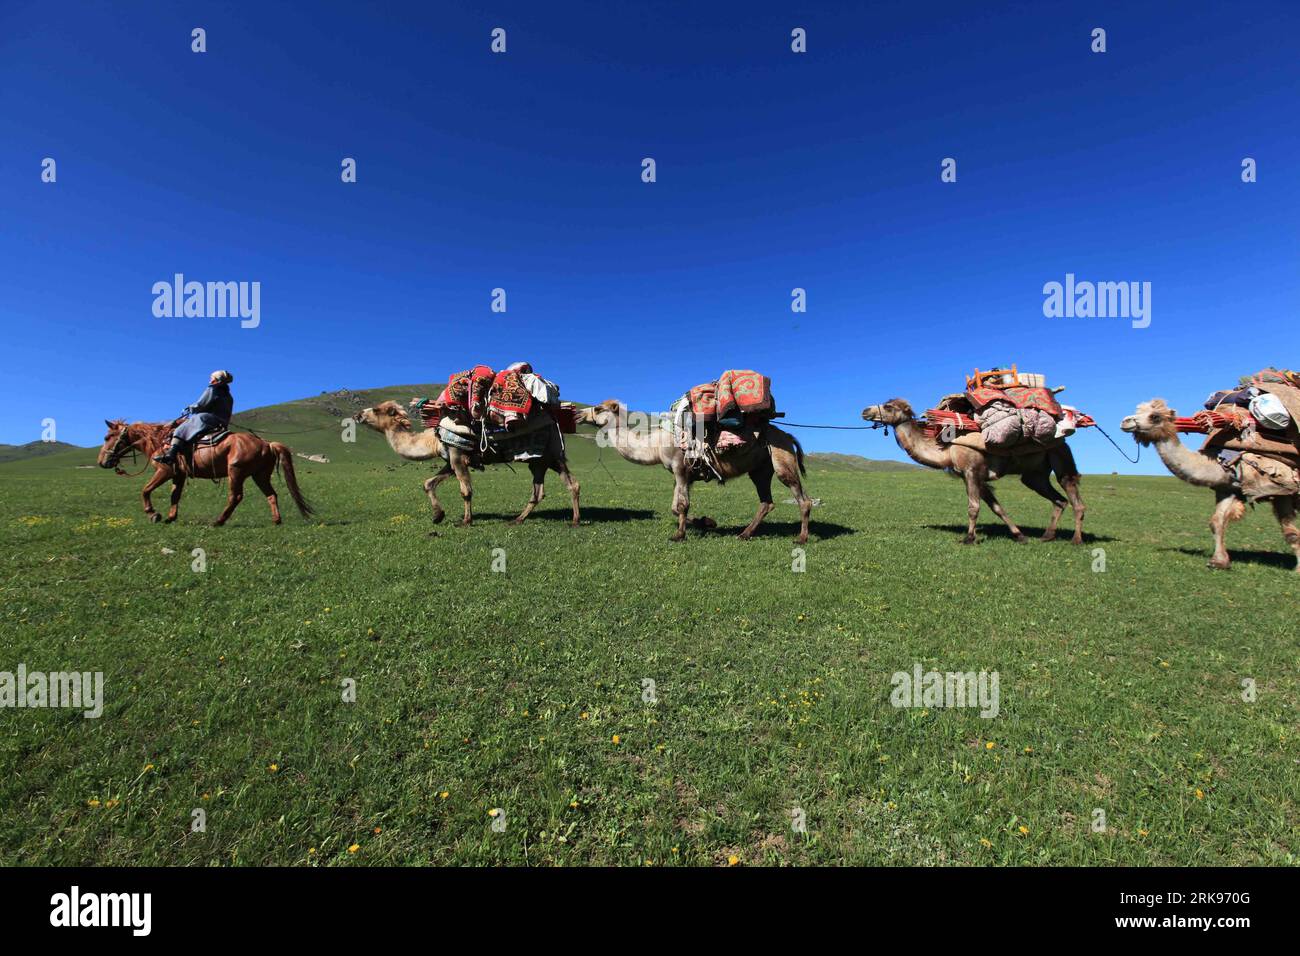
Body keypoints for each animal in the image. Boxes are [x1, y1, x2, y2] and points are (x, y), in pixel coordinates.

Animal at [96, 418, 314, 522]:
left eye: (107, 437)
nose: (101, 462)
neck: (160, 441)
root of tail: (266, 444)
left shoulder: (165, 471)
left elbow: (145, 490)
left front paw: (153, 514)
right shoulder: (179, 475)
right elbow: (174, 496)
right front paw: (170, 517)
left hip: (236, 473)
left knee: (235, 497)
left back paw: (219, 521)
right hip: (259, 476)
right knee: (271, 495)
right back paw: (276, 520)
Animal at [356, 400, 579, 528]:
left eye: (375, 410)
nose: (357, 415)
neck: (433, 440)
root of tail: (553, 420)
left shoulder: (457, 455)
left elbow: (465, 491)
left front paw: (465, 521)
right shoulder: (450, 458)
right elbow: (429, 483)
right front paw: (438, 516)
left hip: (551, 454)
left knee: (570, 484)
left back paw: (575, 521)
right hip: (540, 460)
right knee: (542, 490)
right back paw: (518, 519)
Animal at [574, 400, 806, 541]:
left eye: (598, 408)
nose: (576, 414)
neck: (655, 445)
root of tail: (787, 436)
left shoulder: (680, 468)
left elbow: (682, 505)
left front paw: (679, 535)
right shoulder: (683, 475)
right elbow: (674, 507)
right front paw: (708, 522)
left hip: (781, 458)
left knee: (802, 498)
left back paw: (801, 538)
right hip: (760, 469)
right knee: (766, 501)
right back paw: (744, 534)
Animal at [857, 398, 1081, 546]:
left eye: (888, 406)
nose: (865, 411)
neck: (948, 449)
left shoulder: (971, 471)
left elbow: (973, 507)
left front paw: (968, 538)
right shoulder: (976, 478)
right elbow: (997, 508)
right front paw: (1020, 536)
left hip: (1059, 455)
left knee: (1073, 496)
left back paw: (1076, 539)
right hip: (1035, 475)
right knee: (1059, 500)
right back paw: (1047, 536)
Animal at [1118, 395, 1300, 567]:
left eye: (1155, 416)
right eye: (1138, 410)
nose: (1125, 421)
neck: (1224, 463)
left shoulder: (1282, 490)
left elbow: (1291, 533)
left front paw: (1297, 569)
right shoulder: (1228, 489)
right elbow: (1216, 522)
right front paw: (1219, 562)